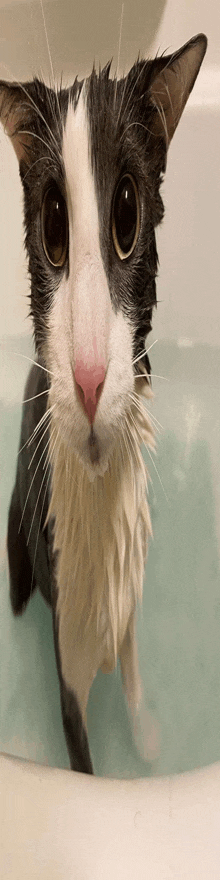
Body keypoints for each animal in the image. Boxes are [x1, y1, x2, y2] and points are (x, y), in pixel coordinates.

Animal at [0, 34, 206, 772]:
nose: (87, 376)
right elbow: (84, 759)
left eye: (127, 218)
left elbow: (137, 670)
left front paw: (146, 738)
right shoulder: (69, 673)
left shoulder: (127, 604)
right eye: (53, 229)